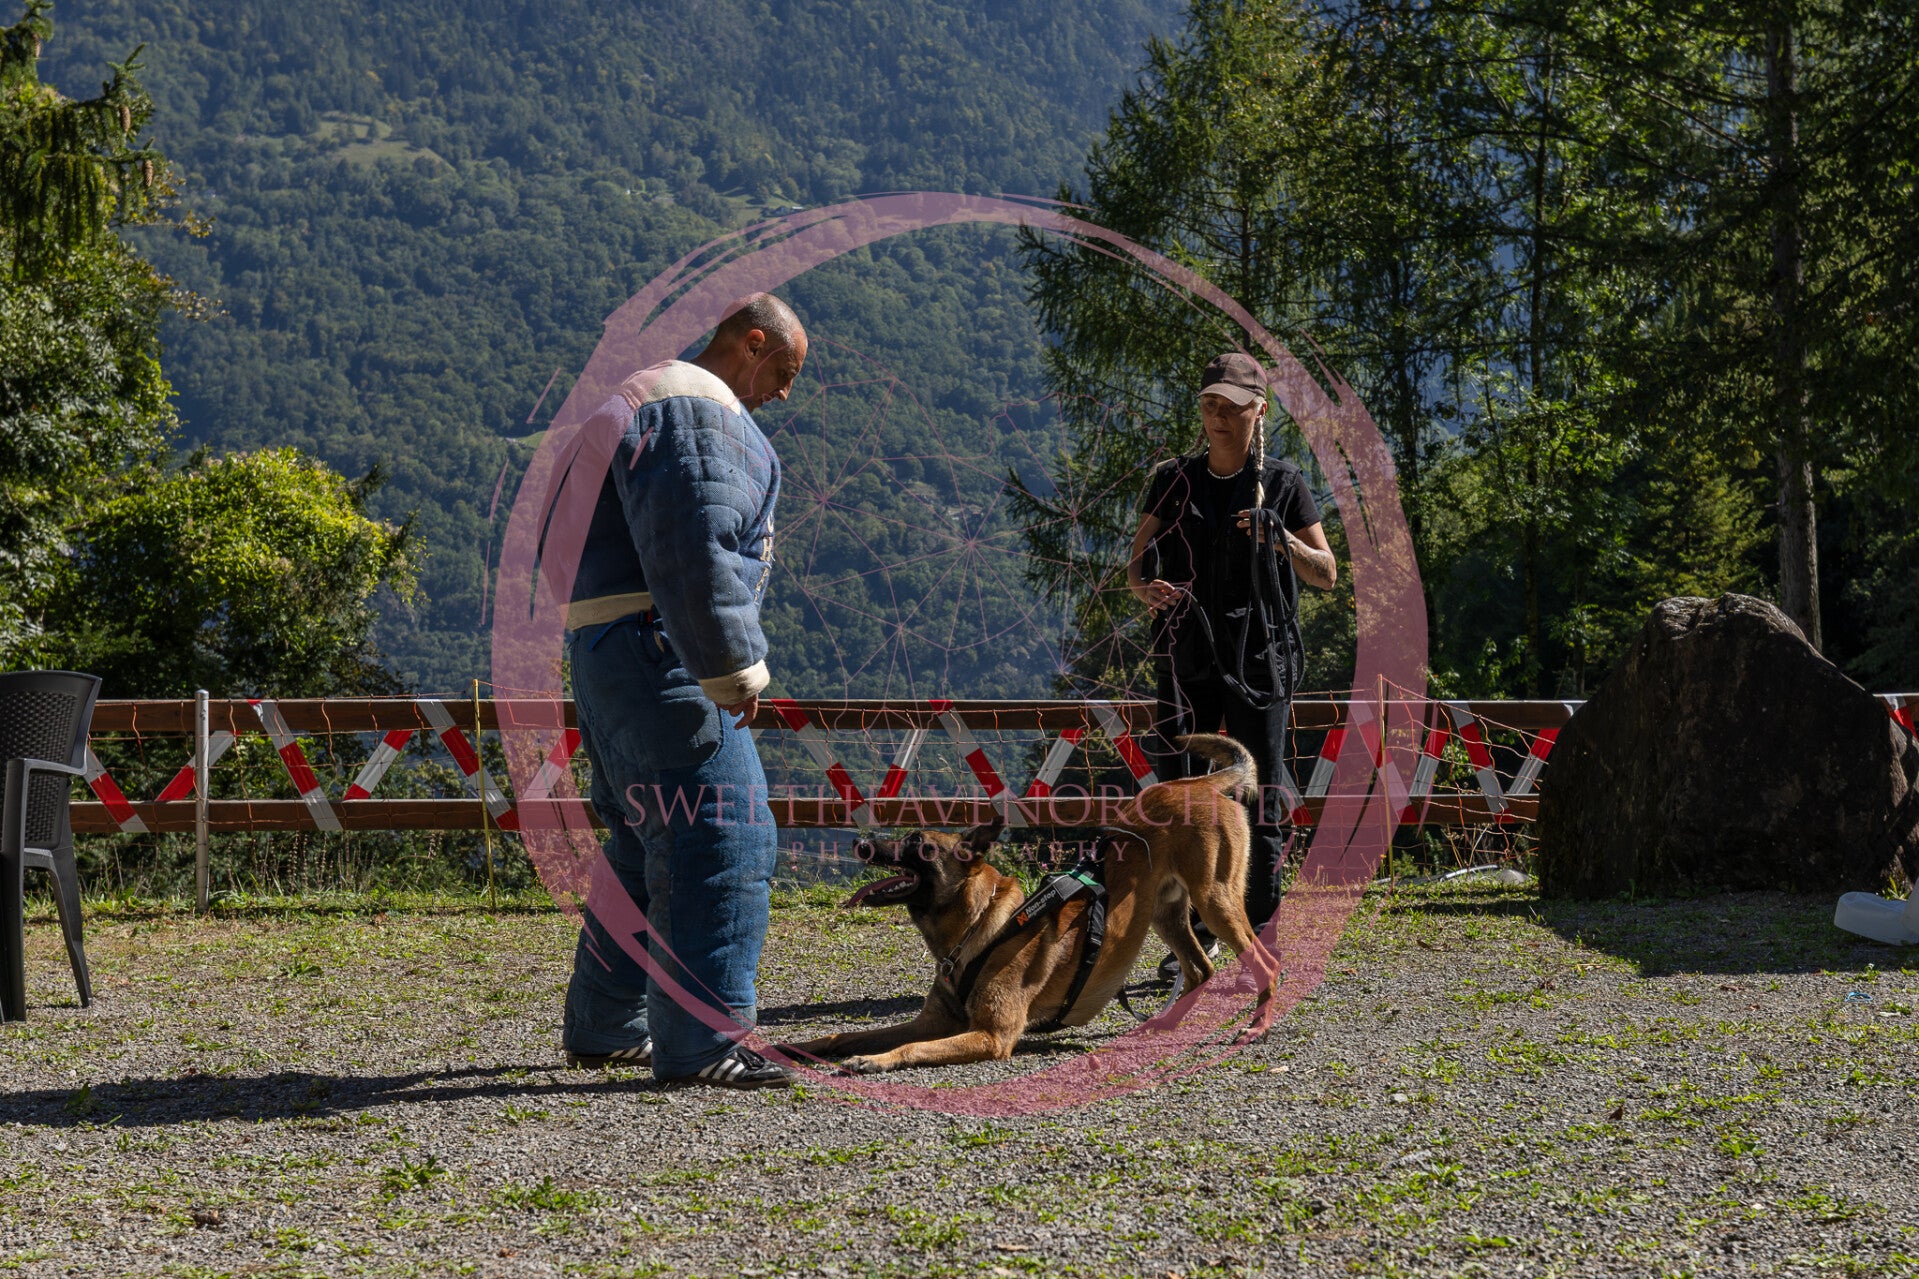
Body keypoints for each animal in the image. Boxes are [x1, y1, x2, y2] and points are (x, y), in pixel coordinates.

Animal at [785, 734, 1281, 1074]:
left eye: (917, 844)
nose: (860, 842)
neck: (981, 925)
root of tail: (1200, 783)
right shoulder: (932, 1022)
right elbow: (849, 1031)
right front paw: (810, 1046)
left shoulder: (992, 1036)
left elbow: (909, 1047)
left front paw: (876, 1060)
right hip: (1163, 913)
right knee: (1201, 969)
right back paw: (1165, 1024)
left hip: (1214, 900)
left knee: (1266, 963)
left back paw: (1257, 1026)